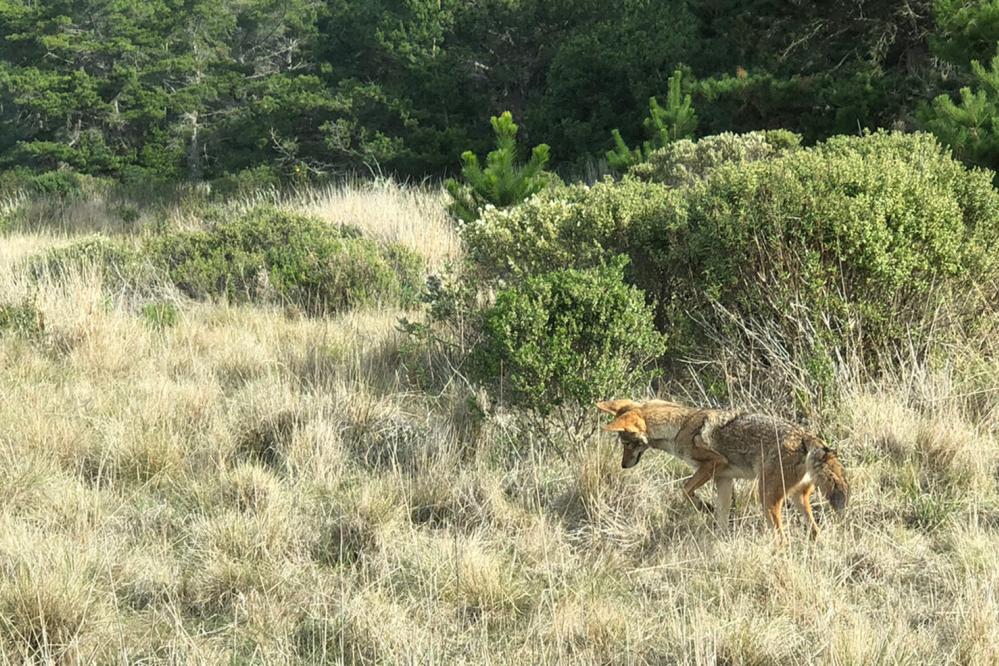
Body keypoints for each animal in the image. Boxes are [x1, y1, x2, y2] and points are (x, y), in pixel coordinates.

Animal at [597, 399, 848, 539]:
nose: (623, 465)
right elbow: (721, 517)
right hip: (796, 499)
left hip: (766, 497)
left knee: (782, 539)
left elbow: (685, 489)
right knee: (815, 533)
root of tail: (807, 437)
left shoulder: (712, 464)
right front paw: (719, 537)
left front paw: (703, 506)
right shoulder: (724, 480)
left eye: (627, 443)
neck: (679, 427)